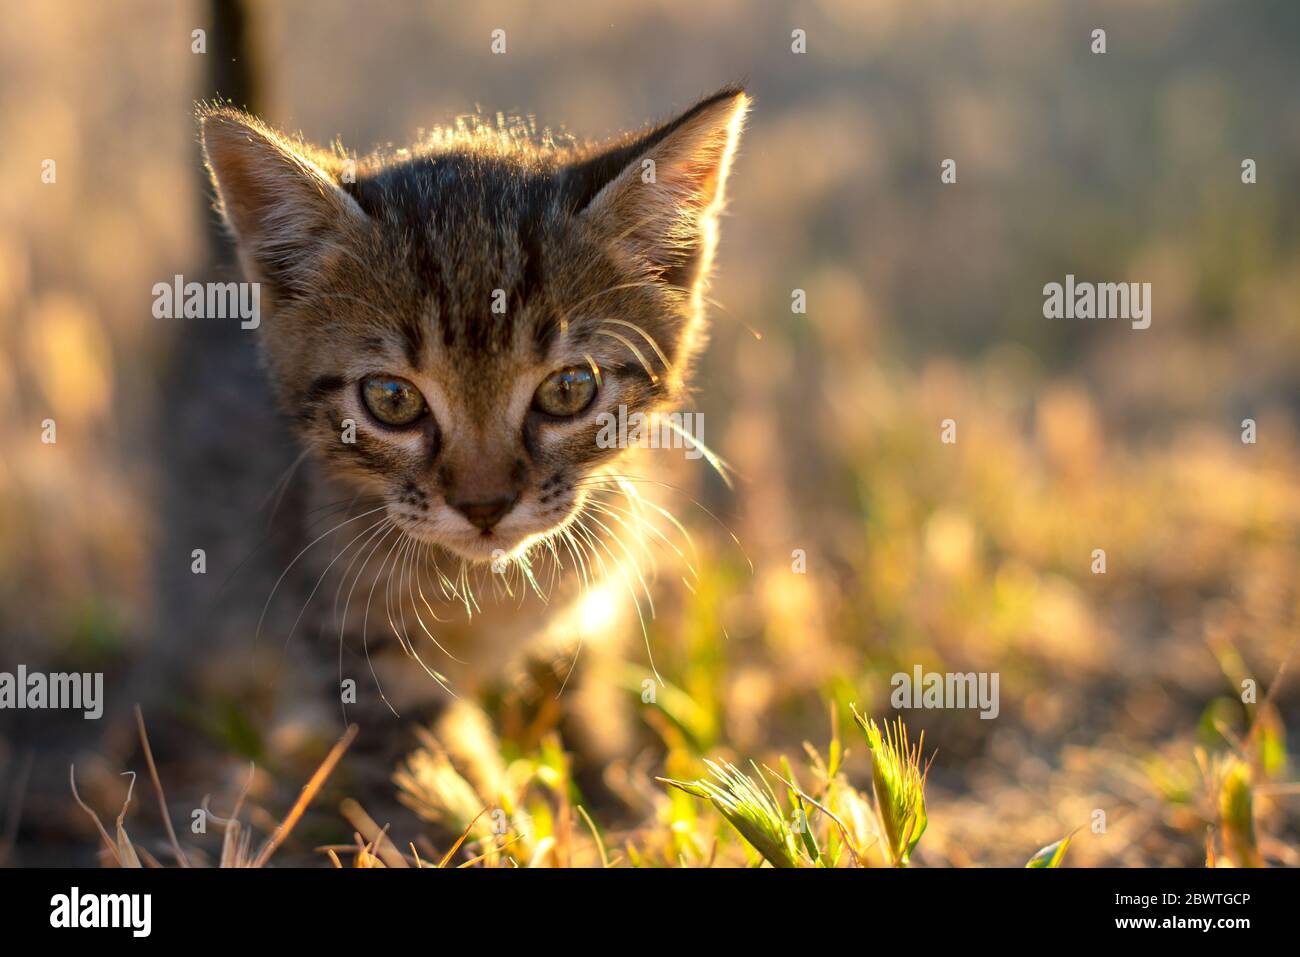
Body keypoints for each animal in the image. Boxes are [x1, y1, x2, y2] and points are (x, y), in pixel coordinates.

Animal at [191, 85, 743, 748]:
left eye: (568, 389)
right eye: (392, 399)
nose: (484, 506)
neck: (486, 588)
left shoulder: (584, 619)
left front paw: (609, 764)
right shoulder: (345, 643)